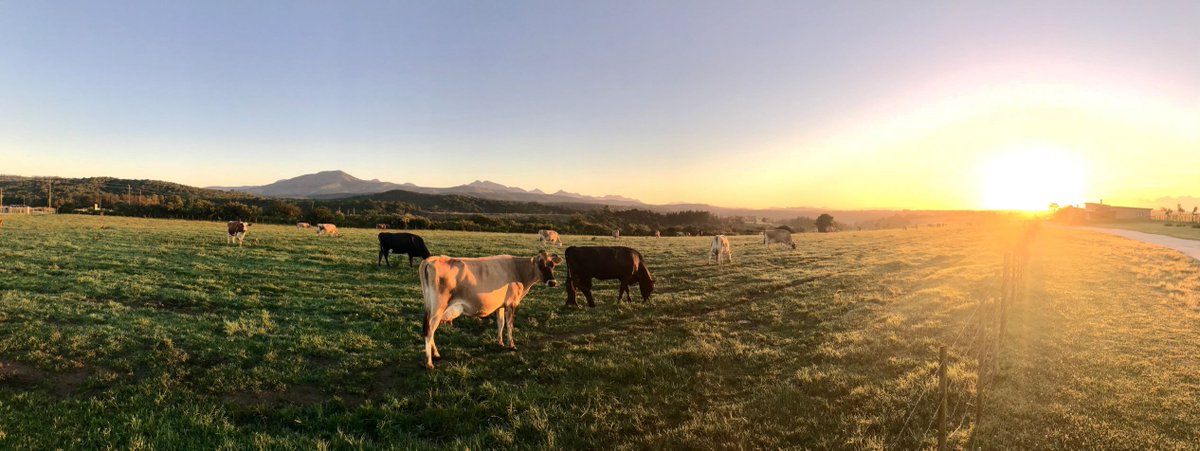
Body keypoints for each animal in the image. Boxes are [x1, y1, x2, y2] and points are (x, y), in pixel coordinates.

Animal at [419, 251, 563, 369]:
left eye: (552, 265)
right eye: (541, 265)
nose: (552, 282)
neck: (517, 270)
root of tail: (431, 260)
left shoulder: (501, 305)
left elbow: (501, 323)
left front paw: (500, 342)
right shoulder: (511, 304)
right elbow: (509, 325)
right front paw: (512, 345)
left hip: (431, 308)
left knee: (430, 330)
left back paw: (436, 354)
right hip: (437, 308)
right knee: (429, 331)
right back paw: (429, 362)